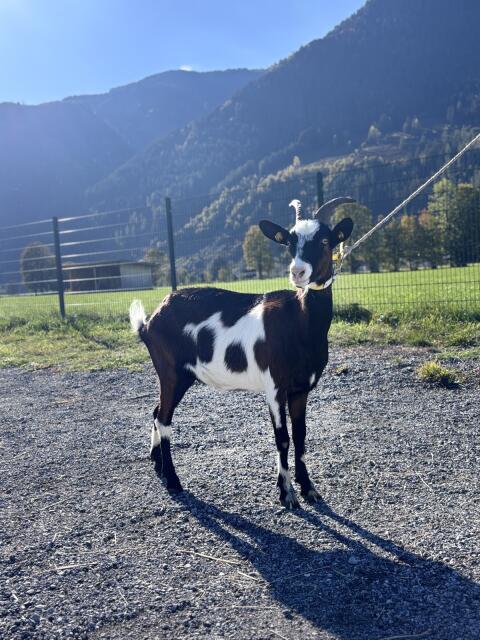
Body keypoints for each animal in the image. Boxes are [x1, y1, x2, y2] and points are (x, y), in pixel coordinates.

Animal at [130, 197, 354, 508]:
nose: (297, 272)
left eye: (324, 240)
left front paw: (308, 488)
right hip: (170, 371)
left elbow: (301, 436)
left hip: (180, 376)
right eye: (289, 242)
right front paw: (286, 493)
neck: (299, 321)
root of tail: (149, 322)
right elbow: (283, 438)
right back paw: (174, 481)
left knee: (156, 411)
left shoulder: (301, 389)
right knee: (164, 420)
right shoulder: (274, 387)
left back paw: (158, 465)